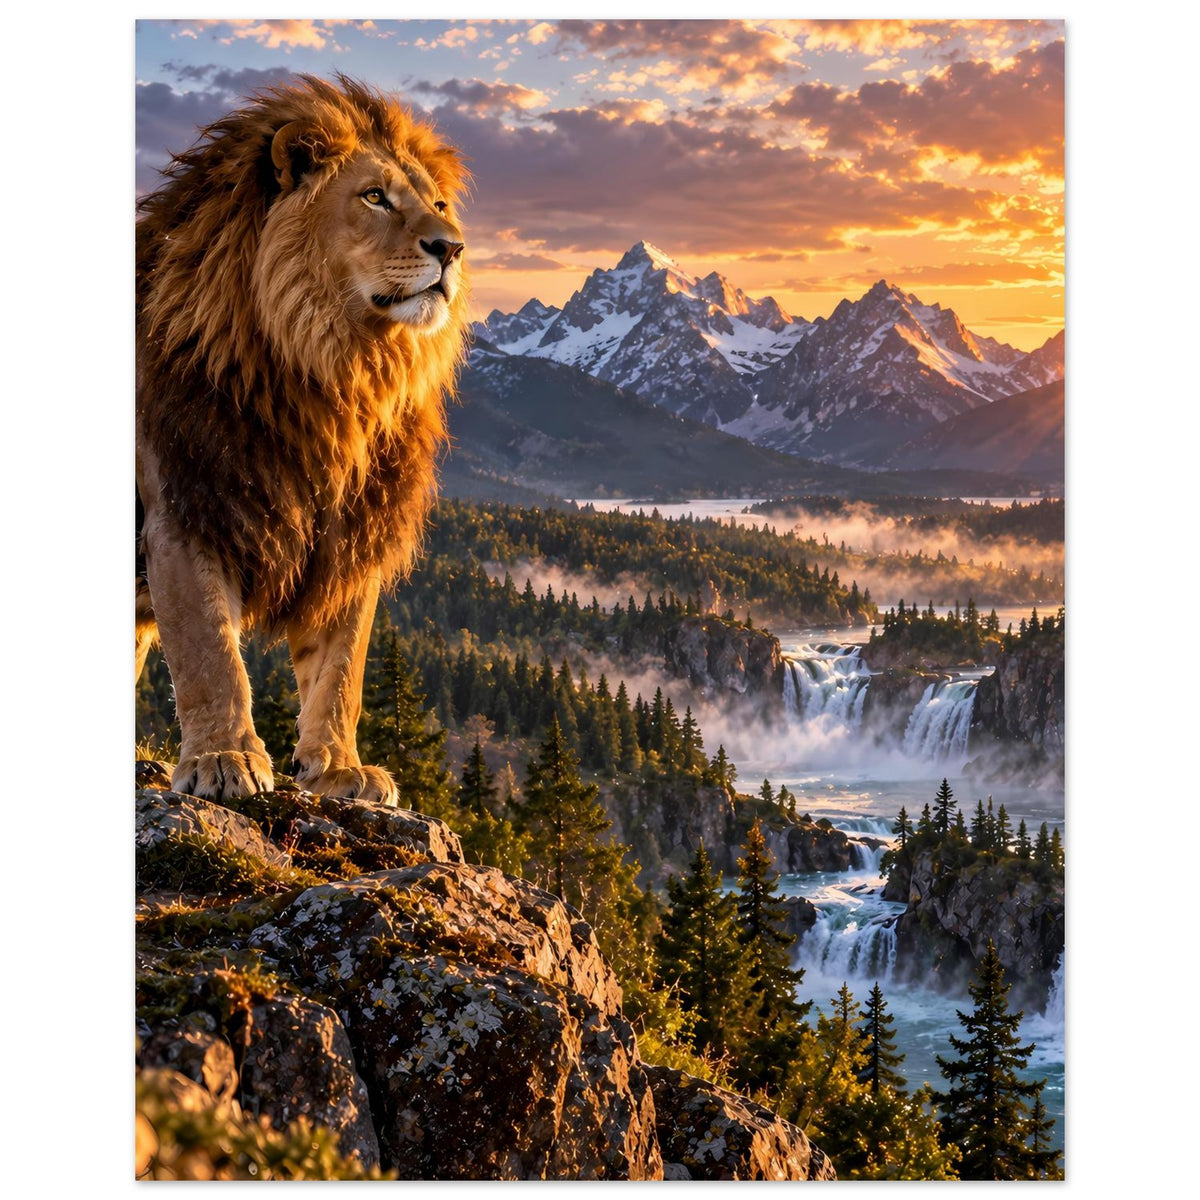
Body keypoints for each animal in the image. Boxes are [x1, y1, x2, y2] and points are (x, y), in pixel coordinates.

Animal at [136, 74, 470, 805]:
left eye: (437, 205)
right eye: (374, 196)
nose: (453, 248)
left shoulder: (350, 537)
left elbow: (341, 670)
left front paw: (340, 769)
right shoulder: (186, 506)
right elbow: (209, 653)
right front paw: (225, 758)